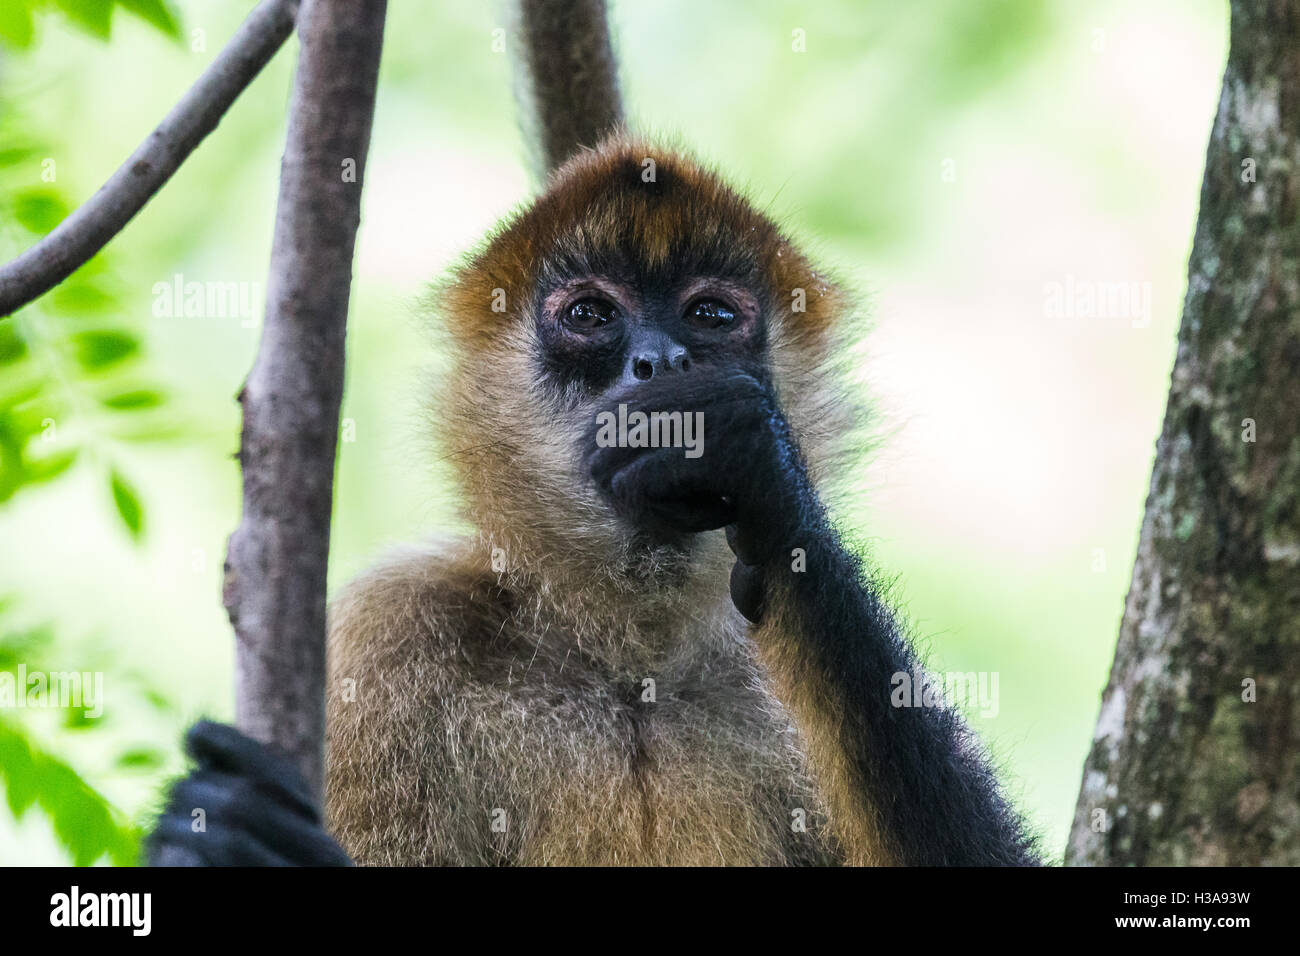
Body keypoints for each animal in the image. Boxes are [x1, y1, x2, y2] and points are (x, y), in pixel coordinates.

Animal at [144, 132, 1034, 868]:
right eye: (590, 316)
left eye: (710, 314)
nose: (661, 360)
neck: (630, 669)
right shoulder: (387, 630)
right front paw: (233, 838)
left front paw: (763, 471)